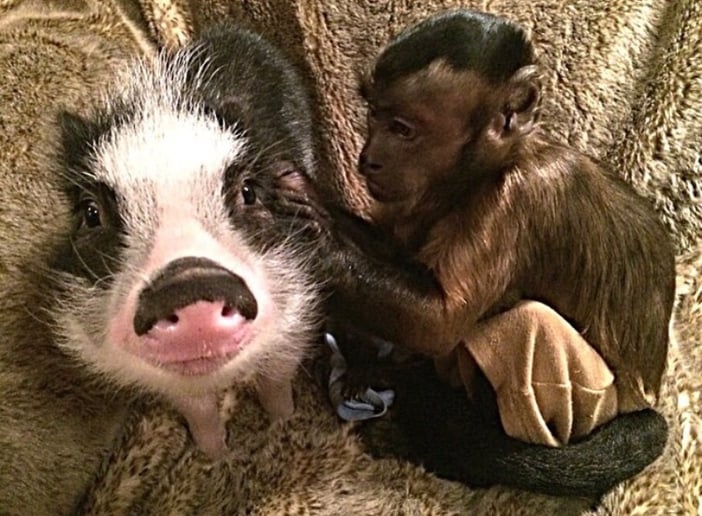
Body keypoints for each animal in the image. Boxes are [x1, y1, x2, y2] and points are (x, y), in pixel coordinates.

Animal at [0, 25, 324, 513]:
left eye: (249, 191)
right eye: (91, 214)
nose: (188, 280)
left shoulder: (296, 316)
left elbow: (276, 380)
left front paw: (283, 423)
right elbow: (199, 411)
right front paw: (215, 456)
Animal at [318, 9, 676, 498]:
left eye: (403, 129)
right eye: (374, 113)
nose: (367, 158)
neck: (484, 173)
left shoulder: (518, 199)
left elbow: (438, 322)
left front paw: (308, 227)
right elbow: (396, 258)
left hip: (595, 407)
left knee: (523, 327)